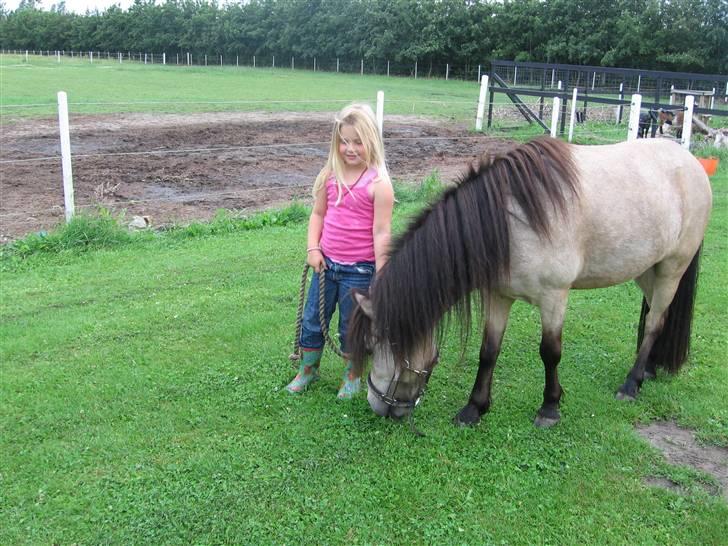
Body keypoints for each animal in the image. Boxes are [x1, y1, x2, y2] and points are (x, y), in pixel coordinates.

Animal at [348, 137, 712, 427]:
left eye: (372, 346)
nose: (377, 405)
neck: (511, 222)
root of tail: (691, 162)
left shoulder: (554, 298)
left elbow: (550, 352)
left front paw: (550, 408)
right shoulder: (499, 296)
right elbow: (488, 351)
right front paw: (473, 409)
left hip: (671, 269)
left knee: (654, 322)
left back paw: (631, 384)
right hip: (647, 270)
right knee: (656, 316)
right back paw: (648, 369)